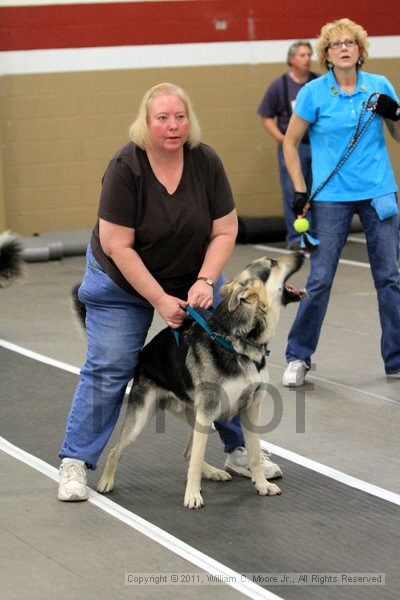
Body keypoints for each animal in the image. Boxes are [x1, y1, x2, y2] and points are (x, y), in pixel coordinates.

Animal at [92, 251, 306, 508]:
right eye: (273, 263)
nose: (303, 252)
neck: (239, 341)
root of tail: (143, 353)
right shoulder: (207, 412)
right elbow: (195, 461)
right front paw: (192, 496)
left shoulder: (251, 409)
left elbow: (253, 454)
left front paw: (261, 484)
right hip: (144, 418)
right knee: (116, 450)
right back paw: (106, 481)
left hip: (195, 418)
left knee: (187, 452)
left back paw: (214, 472)